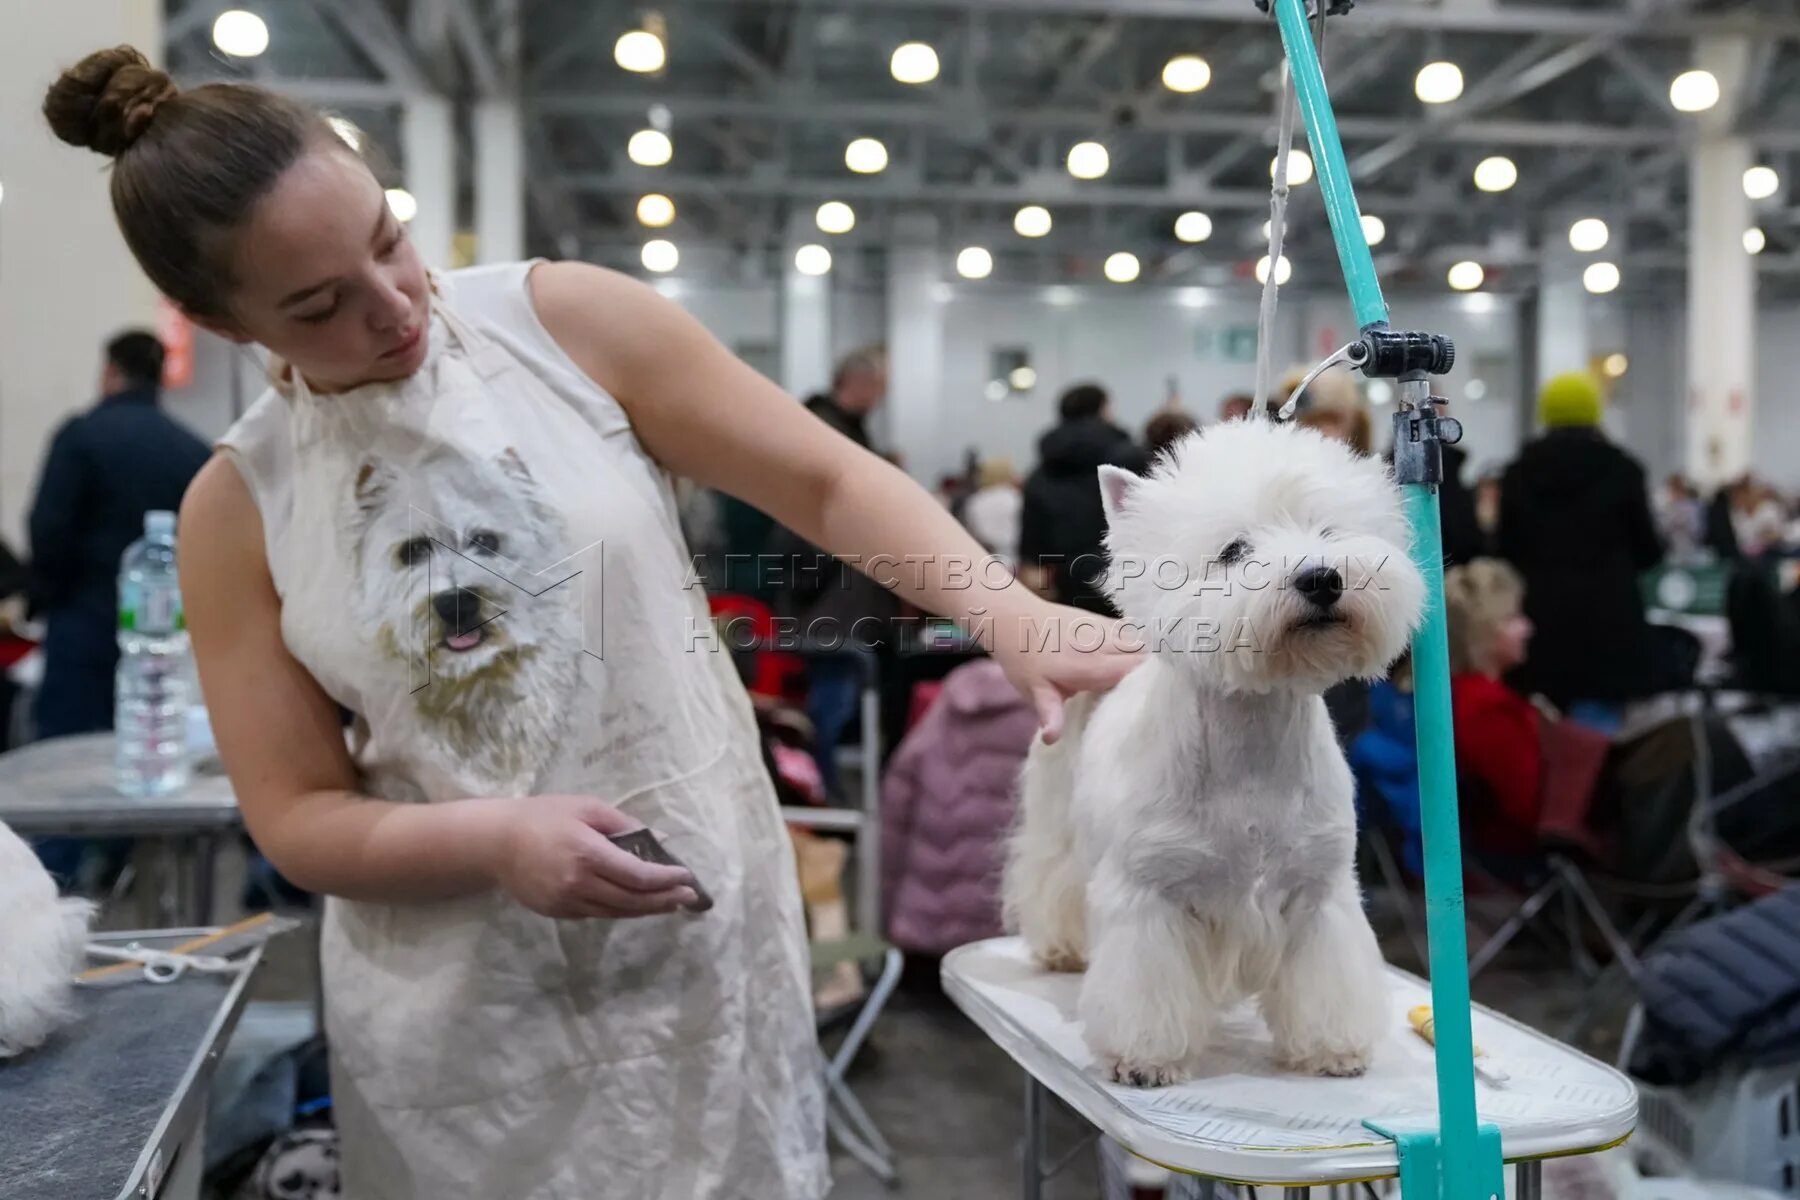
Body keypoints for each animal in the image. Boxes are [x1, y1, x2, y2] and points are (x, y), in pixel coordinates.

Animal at [1008, 422, 1425, 1086]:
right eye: (1234, 550)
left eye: (1328, 532)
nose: (1321, 578)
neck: (1252, 741)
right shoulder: (1148, 894)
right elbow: (1144, 991)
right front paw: (1145, 1059)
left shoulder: (1319, 889)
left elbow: (1326, 978)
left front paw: (1333, 1048)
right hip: (1060, 823)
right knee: (1051, 878)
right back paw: (1062, 949)